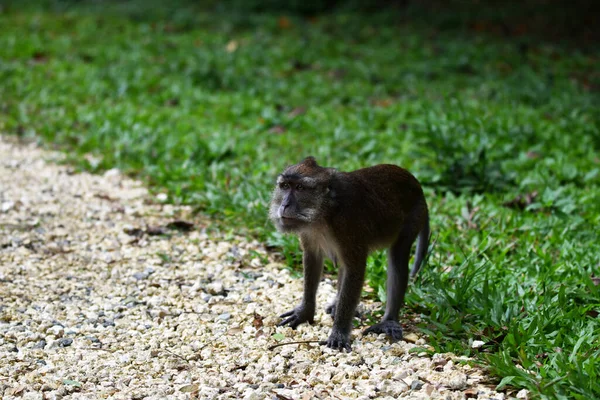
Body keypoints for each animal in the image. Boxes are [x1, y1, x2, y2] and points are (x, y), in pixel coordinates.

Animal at [270, 156, 428, 350]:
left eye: (299, 188)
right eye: (285, 186)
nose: (284, 204)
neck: (324, 212)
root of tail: (418, 186)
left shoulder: (348, 225)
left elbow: (355, 269)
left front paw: (339, 331)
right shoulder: (309, 232)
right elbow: (312, 258)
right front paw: (305, 312)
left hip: (414, 217)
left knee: (398, 256)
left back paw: (389, 320)